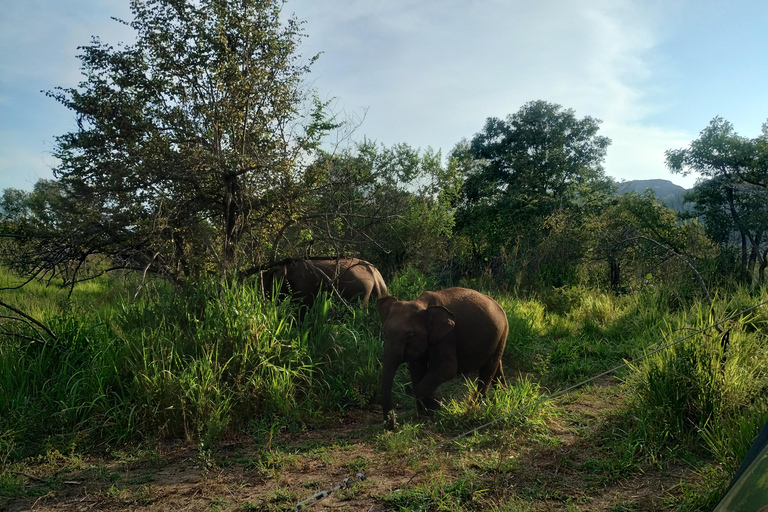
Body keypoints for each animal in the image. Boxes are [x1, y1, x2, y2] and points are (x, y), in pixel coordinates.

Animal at [376, 288, 508, 428]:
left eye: (410, 336)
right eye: (384, 332)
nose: (394, 425)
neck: (422, 304)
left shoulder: (446, 337)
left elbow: (446, 369)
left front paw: (438, 407)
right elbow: (416, 370)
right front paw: (425, 415)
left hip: (502, 333)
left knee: (488, 369)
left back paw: (476, 407)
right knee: (496, 366)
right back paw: (504, 395)